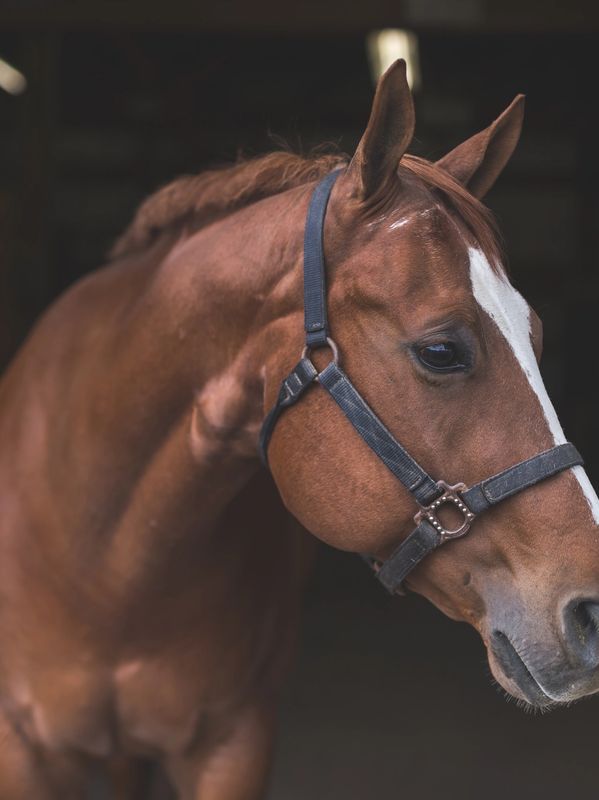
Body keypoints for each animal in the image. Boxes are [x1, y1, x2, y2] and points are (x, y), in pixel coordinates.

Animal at [1, 58, 599, 798]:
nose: (593, 613)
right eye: (439, 350)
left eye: (535, 336)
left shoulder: (234, 743)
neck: (108, 562)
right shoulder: (23, 751)